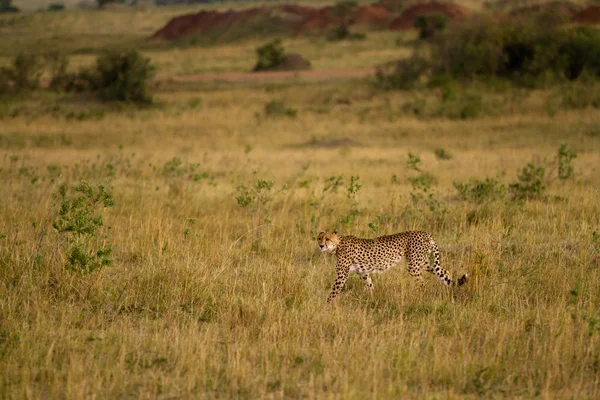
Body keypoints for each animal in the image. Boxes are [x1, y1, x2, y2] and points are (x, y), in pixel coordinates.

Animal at [316, 230, 466, 302]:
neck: (337, 245)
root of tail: (425, 232)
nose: (321, 245)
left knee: (422, 283)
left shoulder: (342, 275)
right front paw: (372, 300)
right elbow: (370, 286)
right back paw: (450, 291)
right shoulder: (363, 272)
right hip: (424, 263)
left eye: (327, 239)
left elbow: (334, 291)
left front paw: (327, 304)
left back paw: (419, 298)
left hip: (414, 265)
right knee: (445, 272)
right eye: (319, 238)